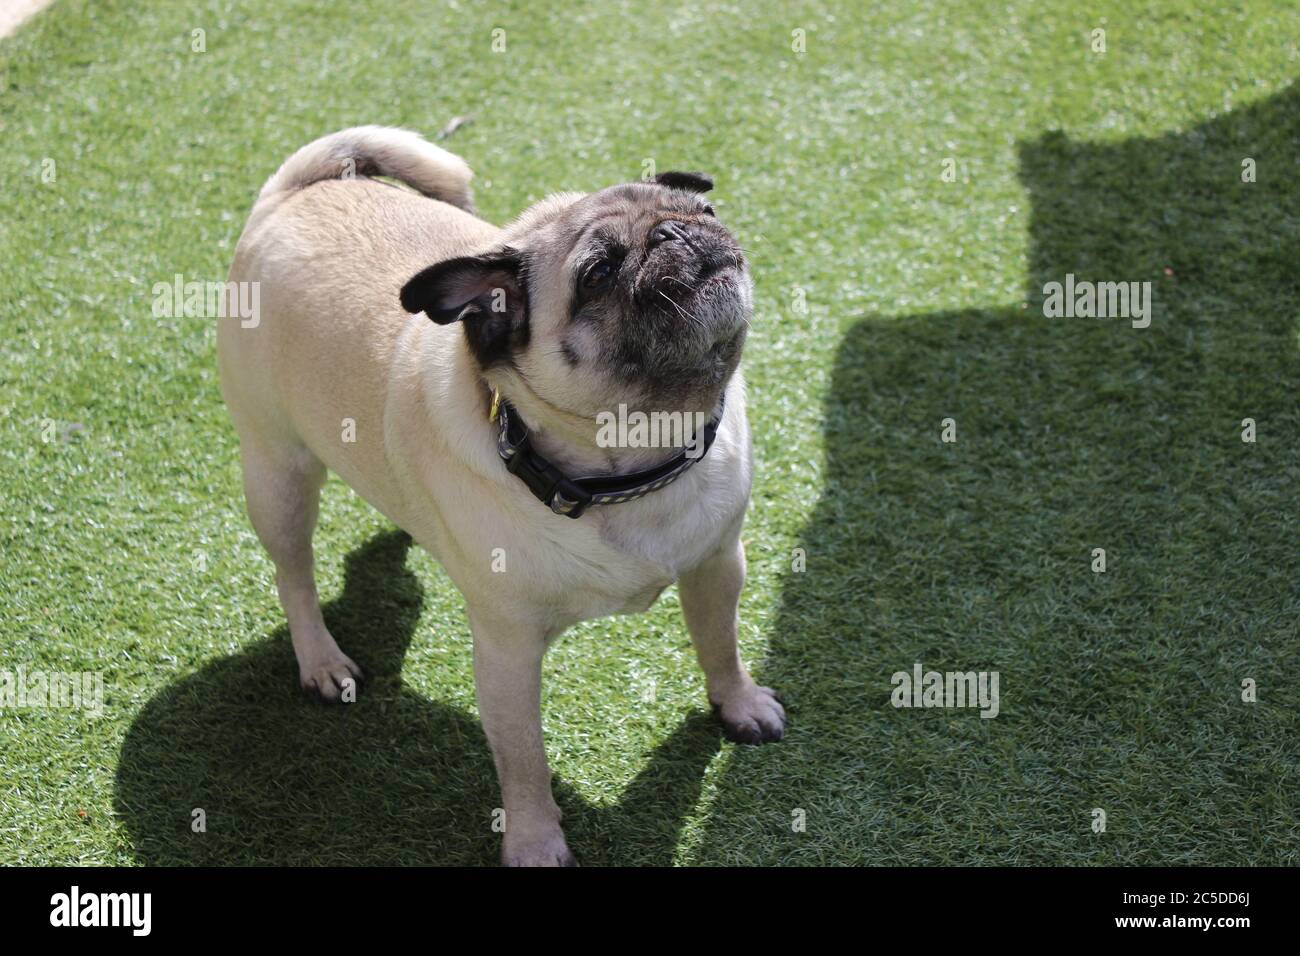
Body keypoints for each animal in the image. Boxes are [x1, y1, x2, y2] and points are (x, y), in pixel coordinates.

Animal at [218, 127, 780, 868]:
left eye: (704, 212)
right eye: (598, 274)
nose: (676, 231)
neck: (631, 465)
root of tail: (290, 196)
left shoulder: (717, 564)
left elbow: (722, 643)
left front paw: (738, 704)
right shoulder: (508, 653)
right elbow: (523, 758)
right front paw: (535, 839)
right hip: (277, 471)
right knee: (294, 574)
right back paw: (320, 659)